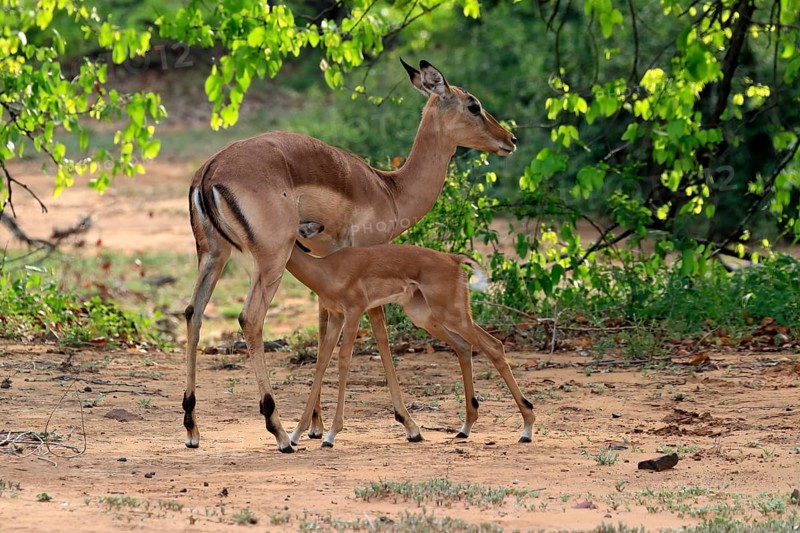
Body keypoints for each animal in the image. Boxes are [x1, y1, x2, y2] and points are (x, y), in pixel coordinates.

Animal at [286, 242, 536, 448]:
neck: (327, 270)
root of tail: (452, 259)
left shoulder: (354, 312)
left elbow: (343, 360)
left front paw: (329, 436)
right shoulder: (337, 316)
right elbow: (321, 362)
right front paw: (295, 435)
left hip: (453, 316)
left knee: (494, 346)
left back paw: (526, 429)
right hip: (426, 317)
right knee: (464, 347)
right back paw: (465, 428)